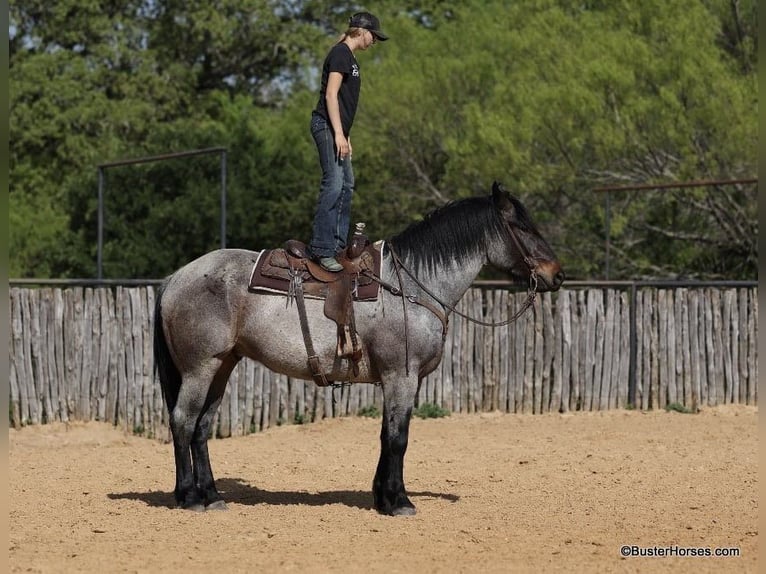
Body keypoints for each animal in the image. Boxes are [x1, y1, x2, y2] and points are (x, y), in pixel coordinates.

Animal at [154, 181, 564, 516]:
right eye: (522, 227)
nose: (556, 274)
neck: (411, 286)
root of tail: (176, 276)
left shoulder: (397, 381)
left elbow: (386, 435)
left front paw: (383, 497)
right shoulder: (402, 376)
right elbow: (398, 438)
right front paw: (399, 501)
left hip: (222, 366)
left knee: (202, 428)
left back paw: (212, 495)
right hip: (200, 368)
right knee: (183, 421)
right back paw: (189, 497)